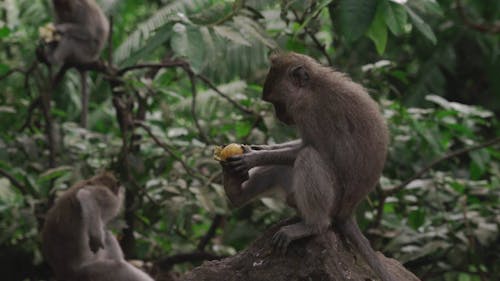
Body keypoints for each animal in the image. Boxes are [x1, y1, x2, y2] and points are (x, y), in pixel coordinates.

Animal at [219, 52, 398, 280]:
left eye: (277, 102)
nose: (279, 117)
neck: (313, 85)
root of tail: (348, 211)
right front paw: (261, 148)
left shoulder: (307, 111)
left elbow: (311, 149)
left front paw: (254, 157)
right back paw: (236, 192)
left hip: (333, 201)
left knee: (308, 157)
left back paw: (313, 226)